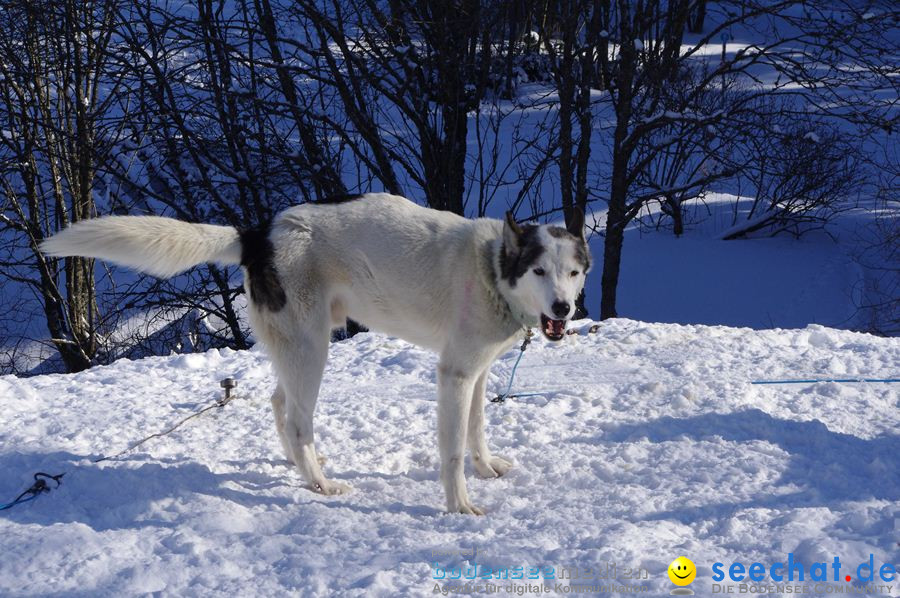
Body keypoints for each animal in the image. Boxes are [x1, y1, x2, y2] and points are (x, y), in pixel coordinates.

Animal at [42, 193, 592, 516]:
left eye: (572, 272)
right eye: (539, 271)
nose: (563, 309)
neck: (492, 268)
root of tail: (260, 235)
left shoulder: (475, 373)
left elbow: (476, 431)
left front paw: (486, 468)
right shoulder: (454, 374)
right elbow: (452, 451)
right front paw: (459, 505)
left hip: (299, 348)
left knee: (280, 405)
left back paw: (301, 466)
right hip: (312, 351)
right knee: (298, 418)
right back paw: (320, 484)